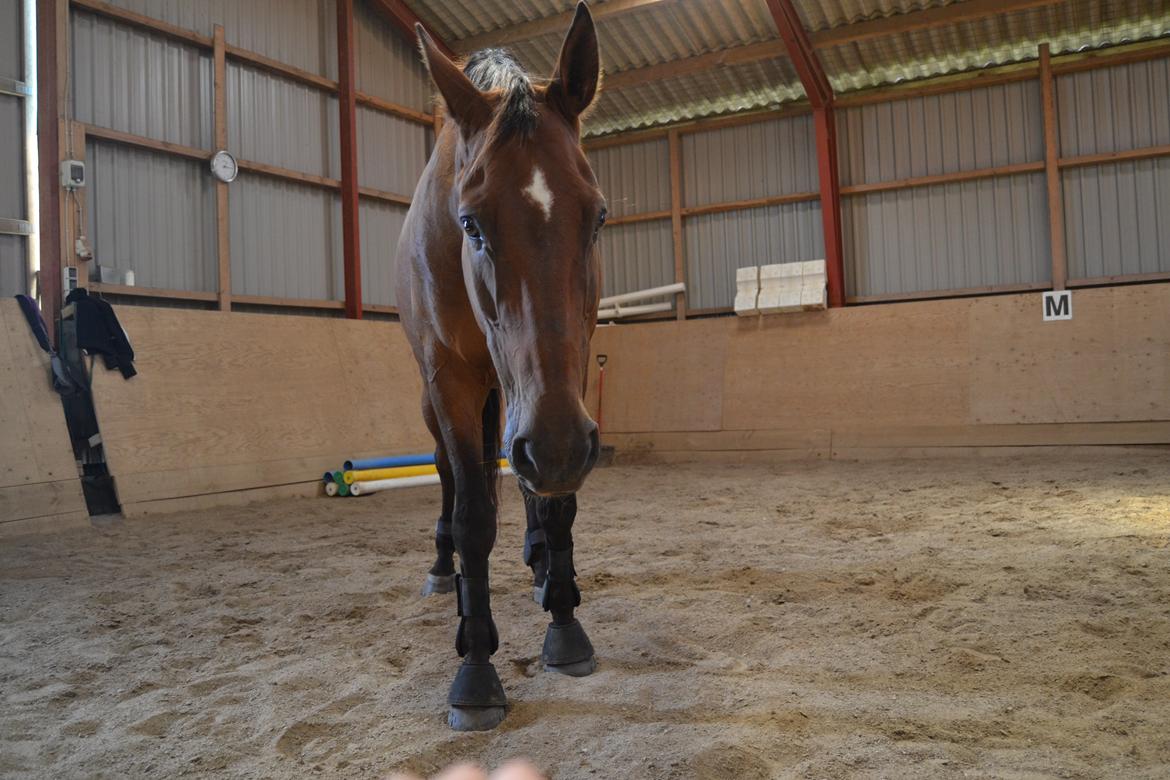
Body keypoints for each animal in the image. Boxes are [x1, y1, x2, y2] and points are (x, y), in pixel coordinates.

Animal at [397, 3, 608, 734]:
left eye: (597, 218)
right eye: (471, 224)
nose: (558, 447)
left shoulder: (568, 379)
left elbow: (555, 500)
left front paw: (565, 623)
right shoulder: (452, 381)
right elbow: (472, 515)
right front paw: (475, 667)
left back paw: (543, 566)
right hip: (453, 402)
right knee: (453, 477)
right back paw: (445, 570)